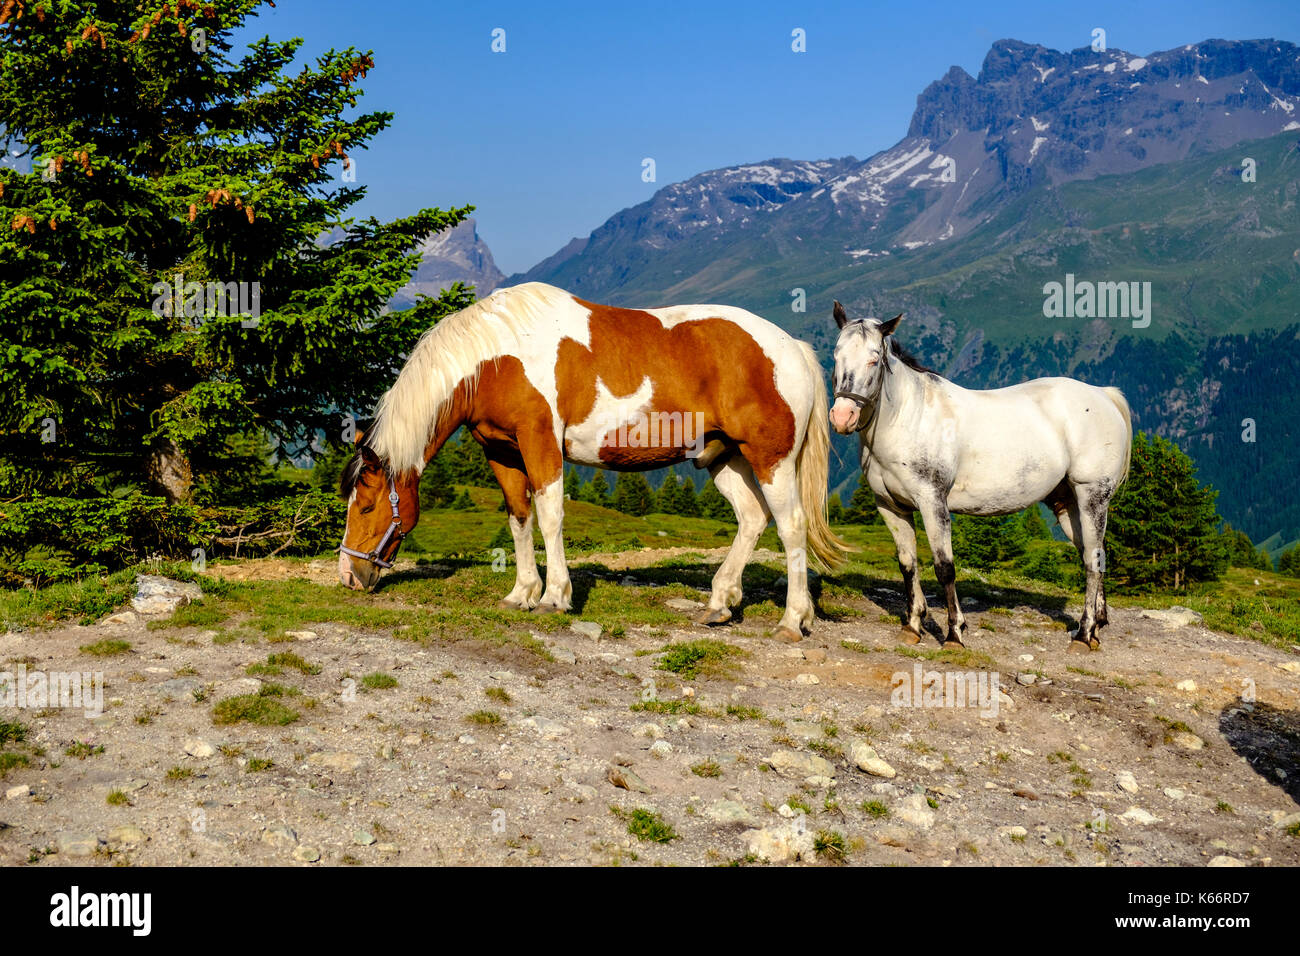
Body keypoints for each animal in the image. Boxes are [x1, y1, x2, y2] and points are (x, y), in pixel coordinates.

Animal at [338, 282, 851, 640]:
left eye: (366, 506)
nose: (348, 577)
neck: (496, 358)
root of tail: (794, 349)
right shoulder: (502, 451)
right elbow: (519, 519)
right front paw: (520, 593)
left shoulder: (540, 442)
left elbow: (549, 517)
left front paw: (554, 597)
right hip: (724, 458)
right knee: (752, 519)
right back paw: (719, 603)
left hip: (771, 460)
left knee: (791, 526)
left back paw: (792, 621)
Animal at [827, 302, 1132, 652]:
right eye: (836, 354)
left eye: (874, 357)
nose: (843, 417)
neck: (909, 417)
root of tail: (1104, 396)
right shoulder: (890, 506)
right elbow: (907, 564)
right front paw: (913, 626)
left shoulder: (933, 502)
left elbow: (945, 568)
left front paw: (954, 634)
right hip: (1068, 503)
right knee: (1093, 554)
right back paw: (1096, 628)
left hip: (1092, 496)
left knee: (1093, 561)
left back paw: (1083, 634)